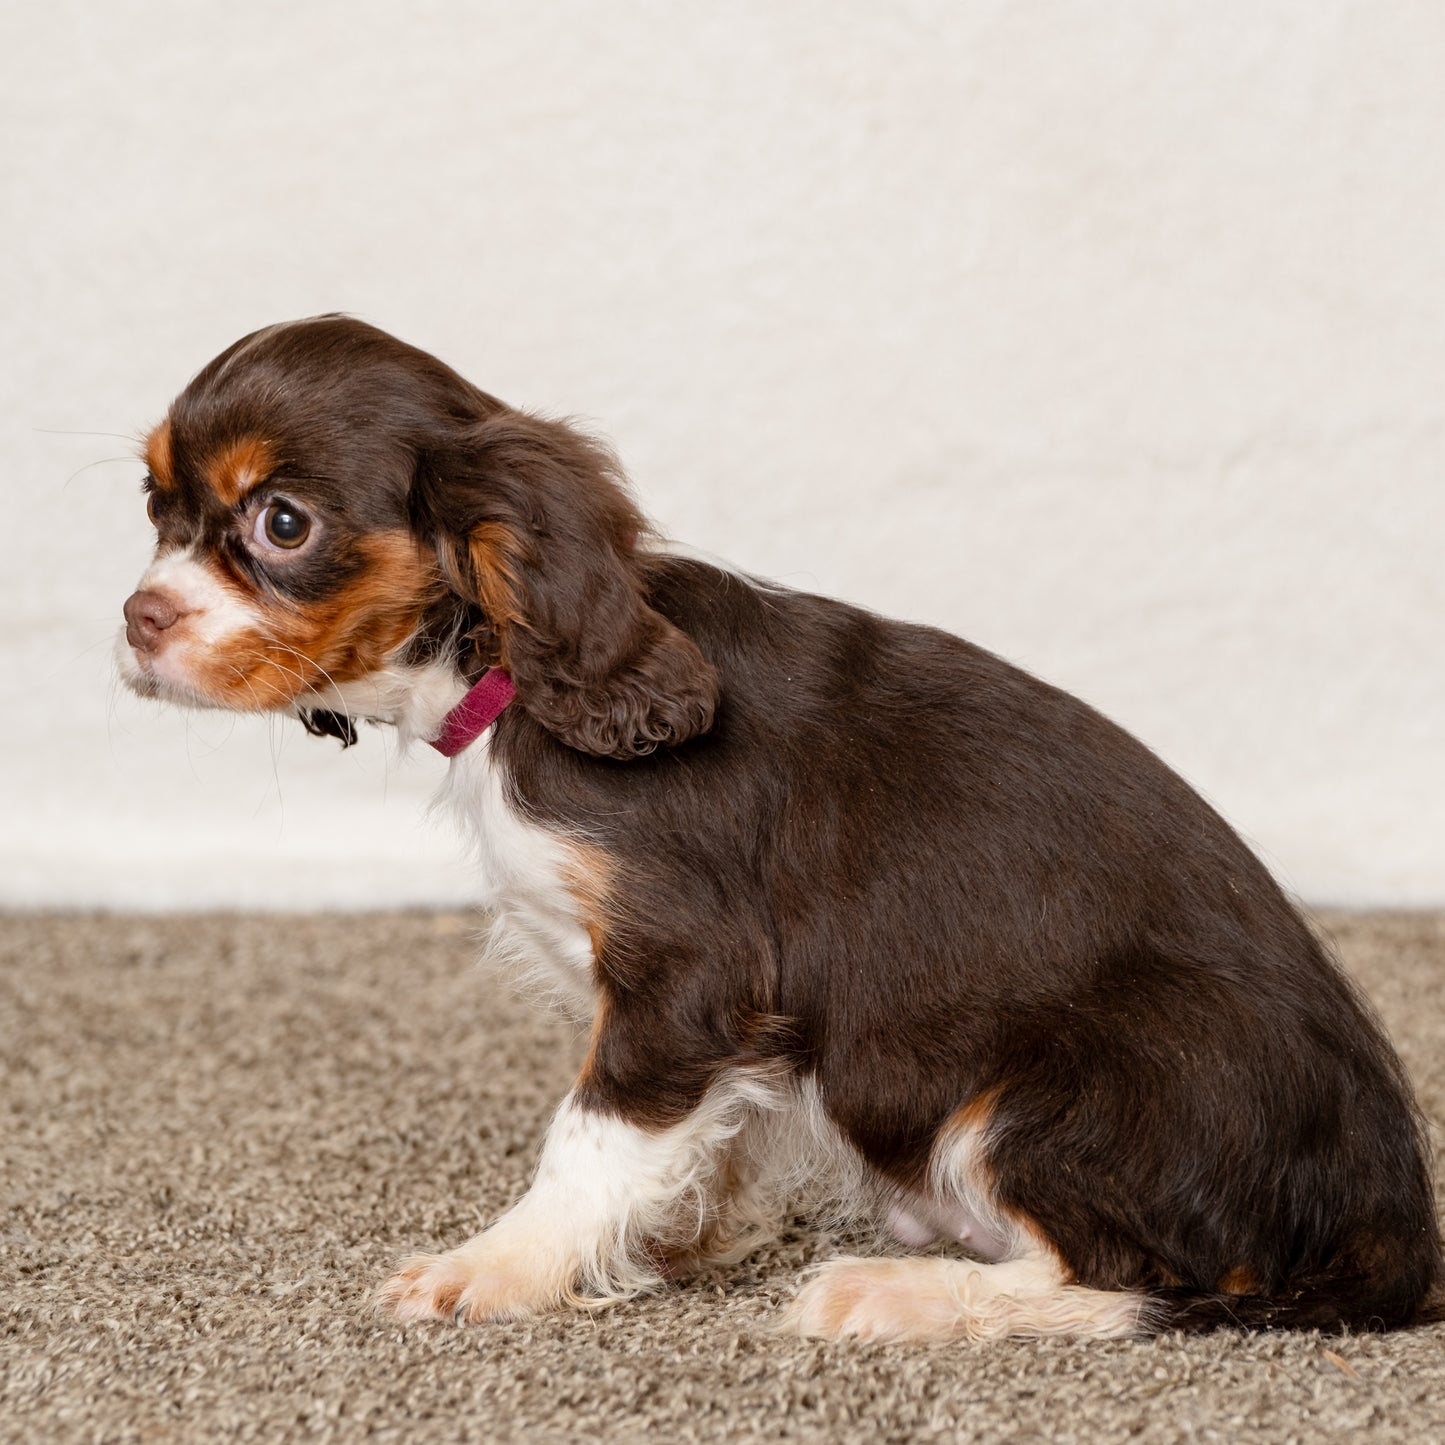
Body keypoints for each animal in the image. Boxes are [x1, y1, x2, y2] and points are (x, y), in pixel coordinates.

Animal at [118, 316, 1439, 1340]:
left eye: (282, 522)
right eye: (152, 502)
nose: (134, 618)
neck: (507, 679)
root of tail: (1395, 1226)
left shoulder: (684, 975)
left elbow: (588, 1135)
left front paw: (492, 1267)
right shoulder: (717, 1024)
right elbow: (703, 1137)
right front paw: (666, 1240)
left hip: (1046, 1090)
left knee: (1144, 1283)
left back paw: (892, 1292)